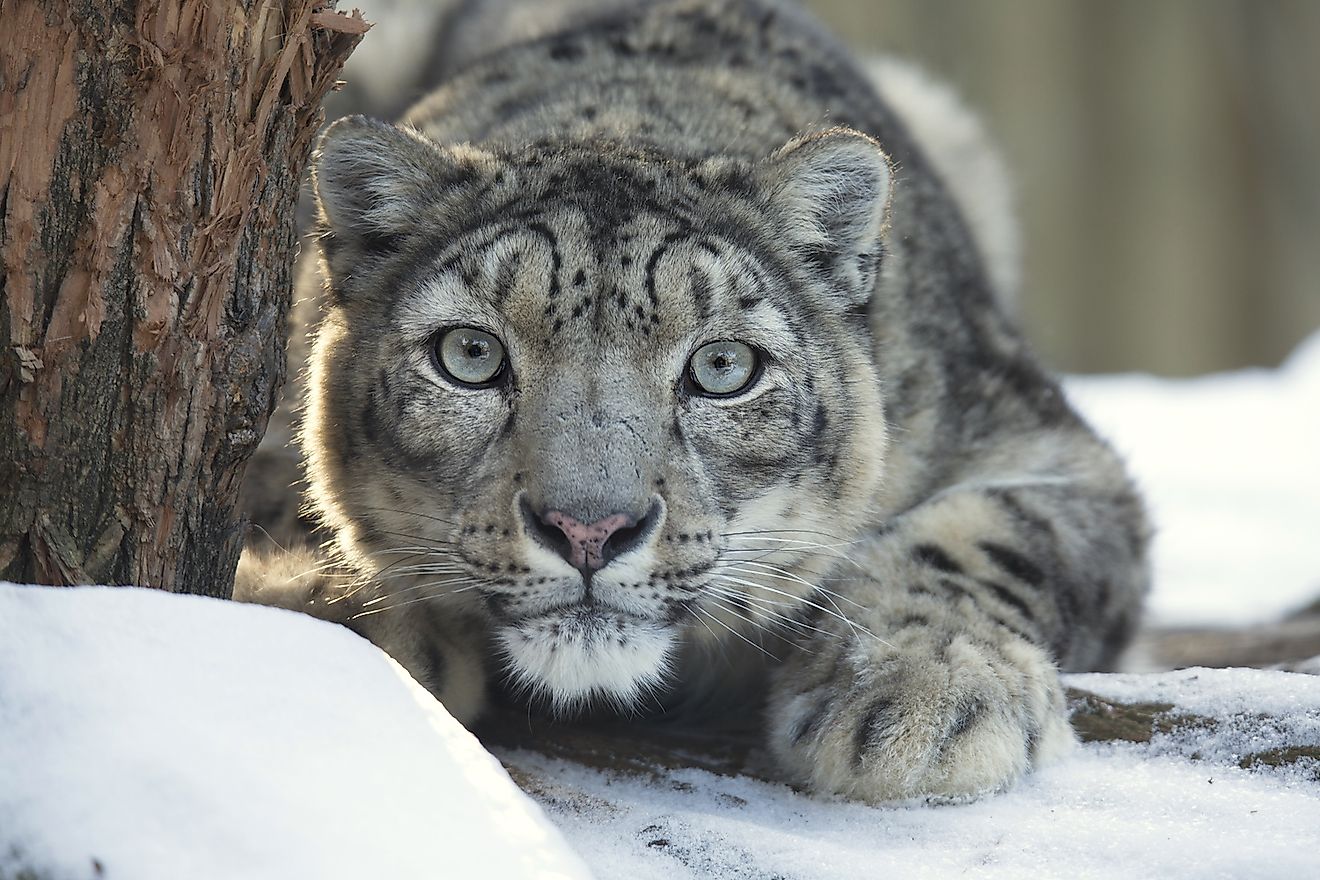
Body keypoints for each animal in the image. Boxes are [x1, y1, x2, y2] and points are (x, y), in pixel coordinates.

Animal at [236, 0, 1149, 804]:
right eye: (470, 354)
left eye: (722, 366)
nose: (589, 531)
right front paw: (341, 615)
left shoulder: (1041, 444)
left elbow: (993, 538)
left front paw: (921, 700)